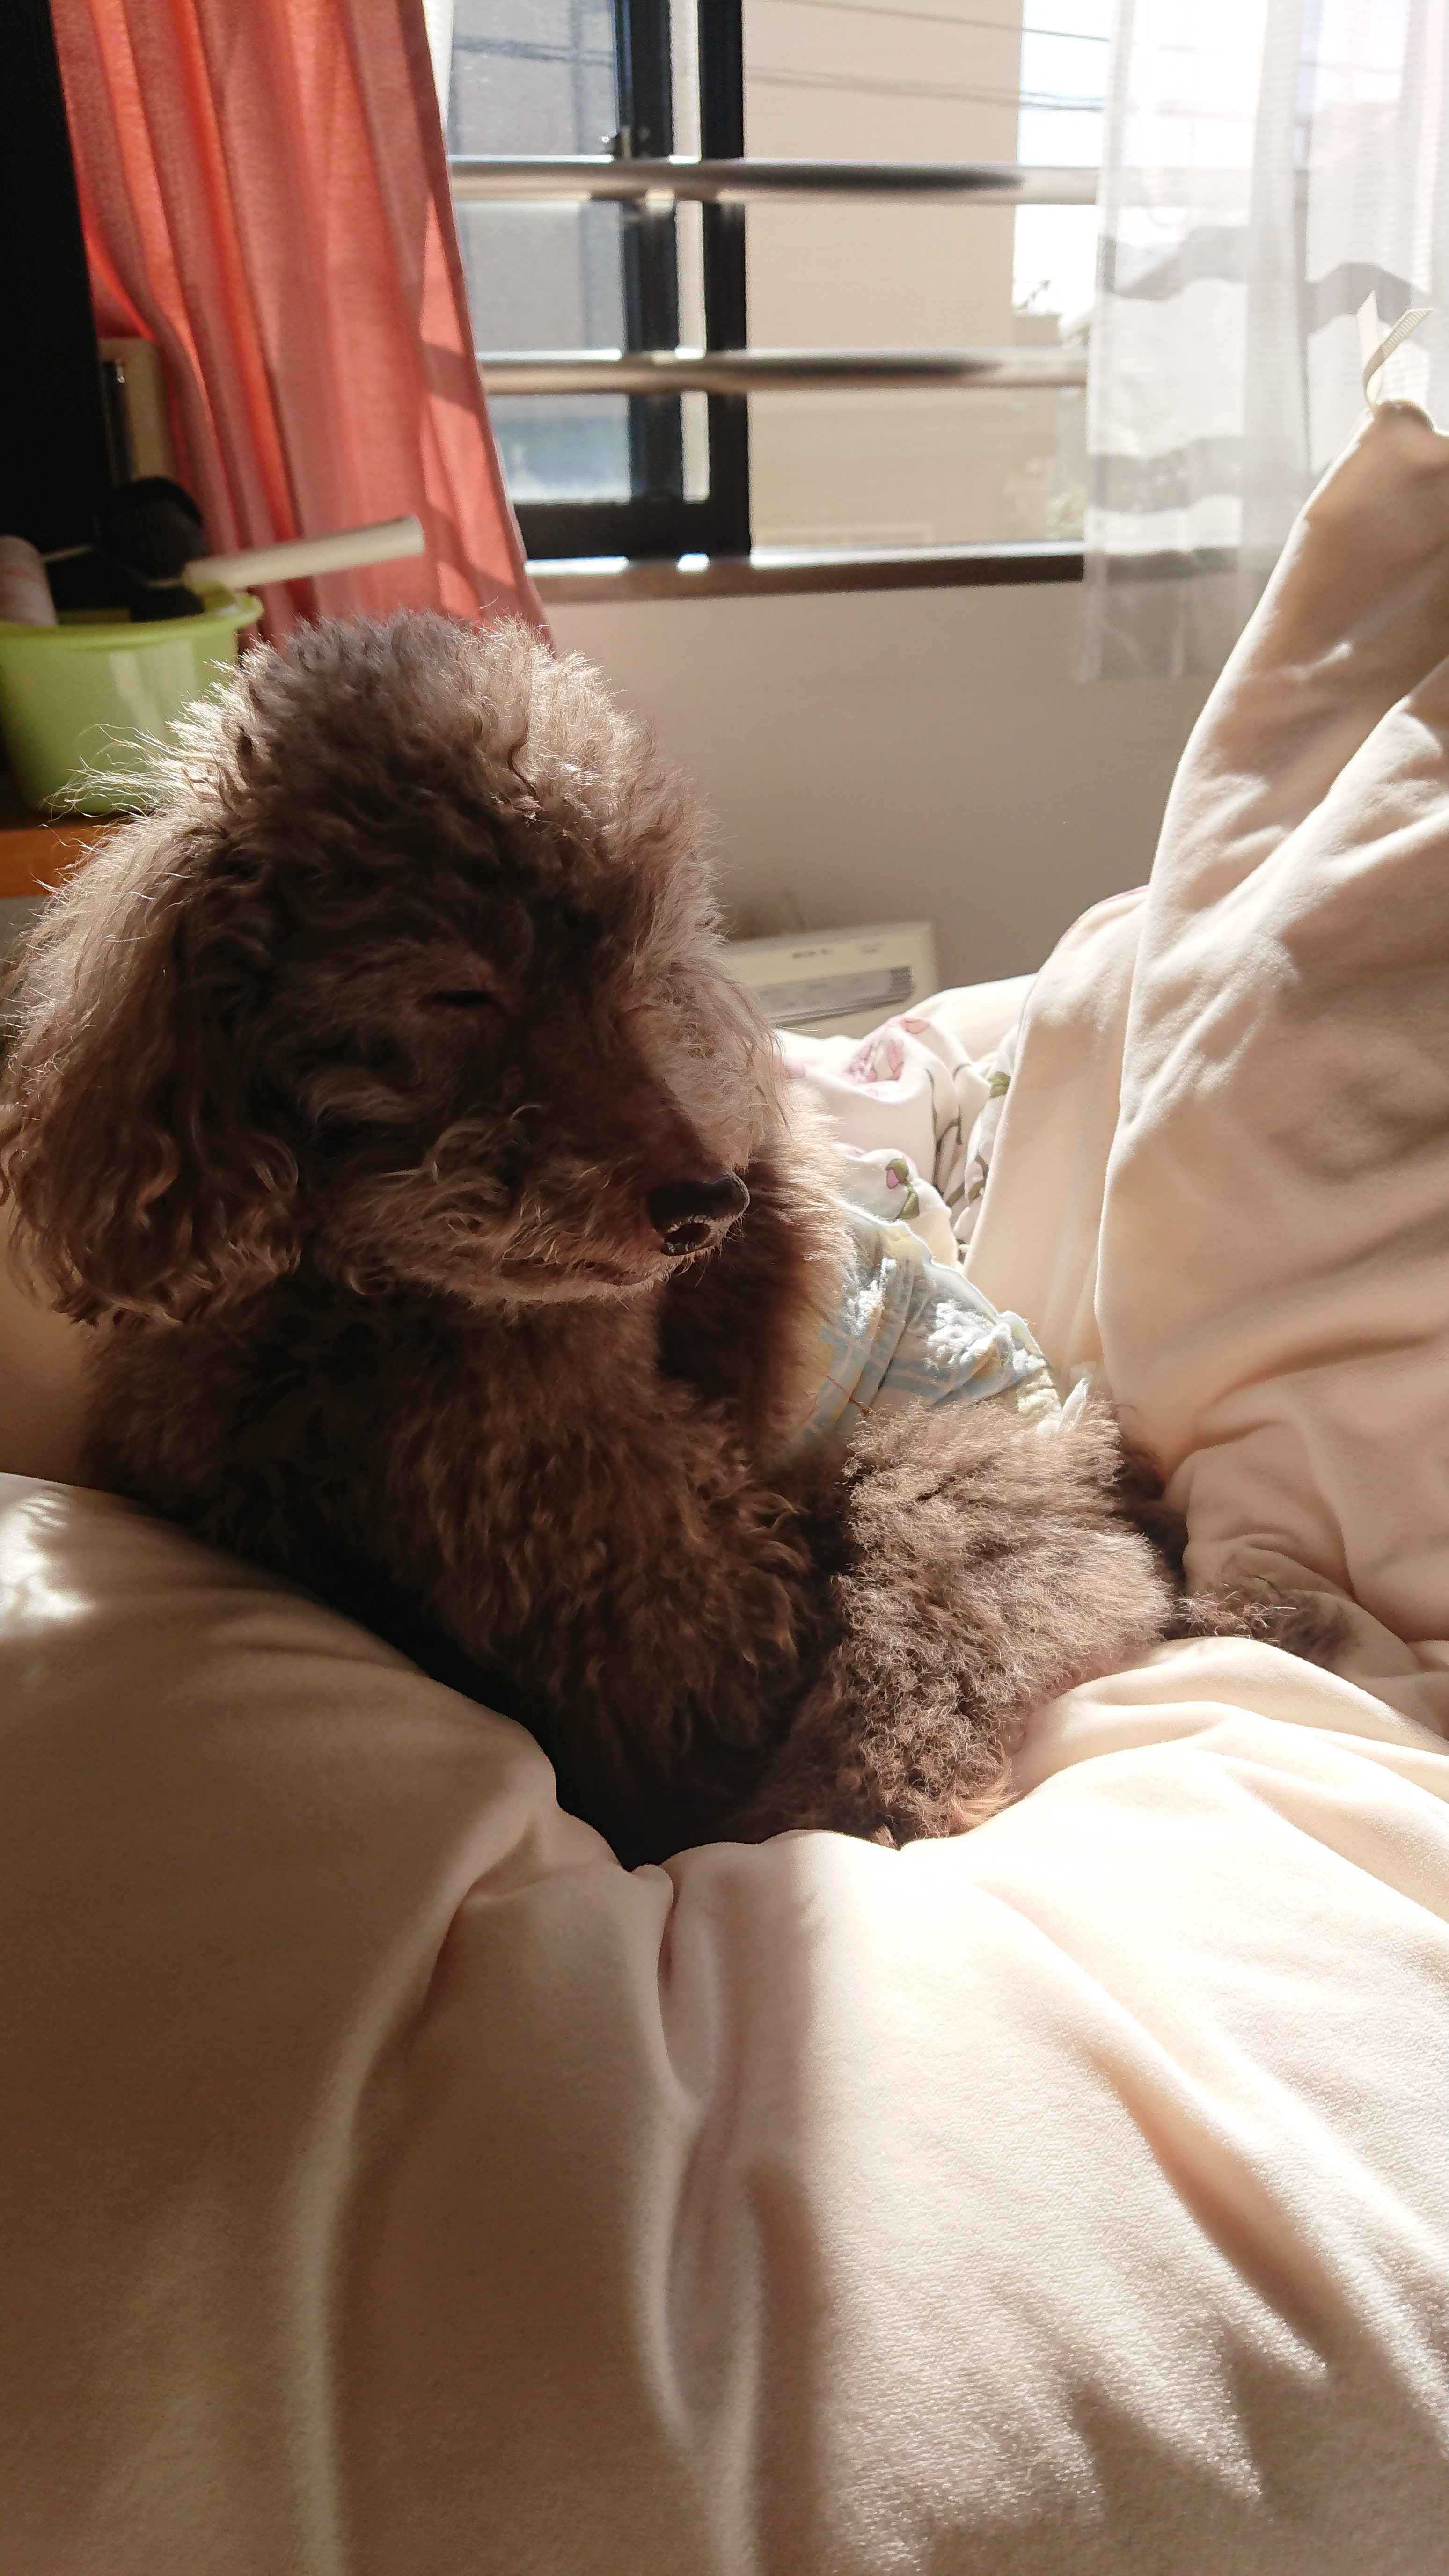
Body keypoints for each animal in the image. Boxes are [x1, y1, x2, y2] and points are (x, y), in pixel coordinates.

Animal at [0, 616, 1330, 1862]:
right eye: (457, 992)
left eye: (643, 978)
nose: (711, 1202)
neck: (375, 1315)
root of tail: (1112, 1476)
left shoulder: (681, 1604)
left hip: (938, 1486)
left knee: (925, 1679)